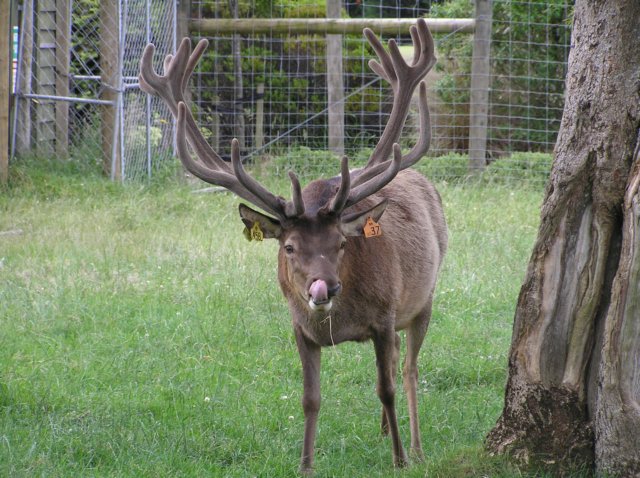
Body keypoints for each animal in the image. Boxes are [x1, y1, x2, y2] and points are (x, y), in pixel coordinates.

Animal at [139, 17, 450, 470]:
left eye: (341, 243)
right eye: (288, 247)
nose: (325, 287)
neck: (340, 320)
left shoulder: (384, 314)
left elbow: (386, 388)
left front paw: (400, 460)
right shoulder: (299, 327)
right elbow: (310, 398)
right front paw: (305, 464)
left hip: (424, 297)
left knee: (408, 370)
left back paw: (417, 445)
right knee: (396, 361)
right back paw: (384, 431)